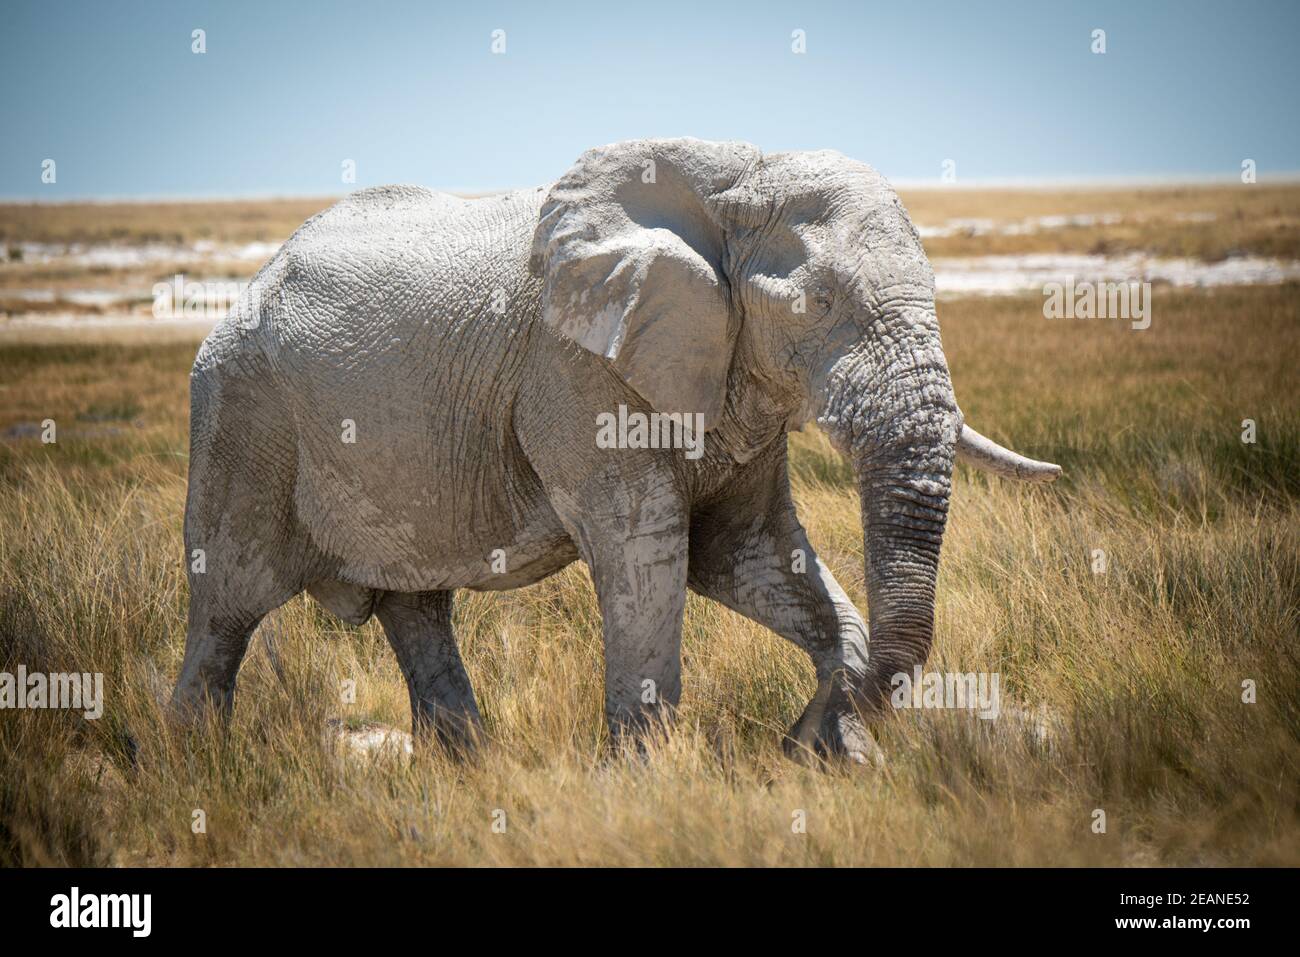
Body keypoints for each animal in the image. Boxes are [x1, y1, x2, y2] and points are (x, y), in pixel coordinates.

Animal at [172, 136, 1060, 764]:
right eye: (818, 303)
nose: (796, 737)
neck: (737, 175)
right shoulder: (576, 371)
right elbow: (647, 551)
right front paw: (648, 780)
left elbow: (750, 553)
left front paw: (835, 754)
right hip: (241, 417)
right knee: (228, 607)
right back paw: (195, 775)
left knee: (416, 608)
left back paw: (470, 771)